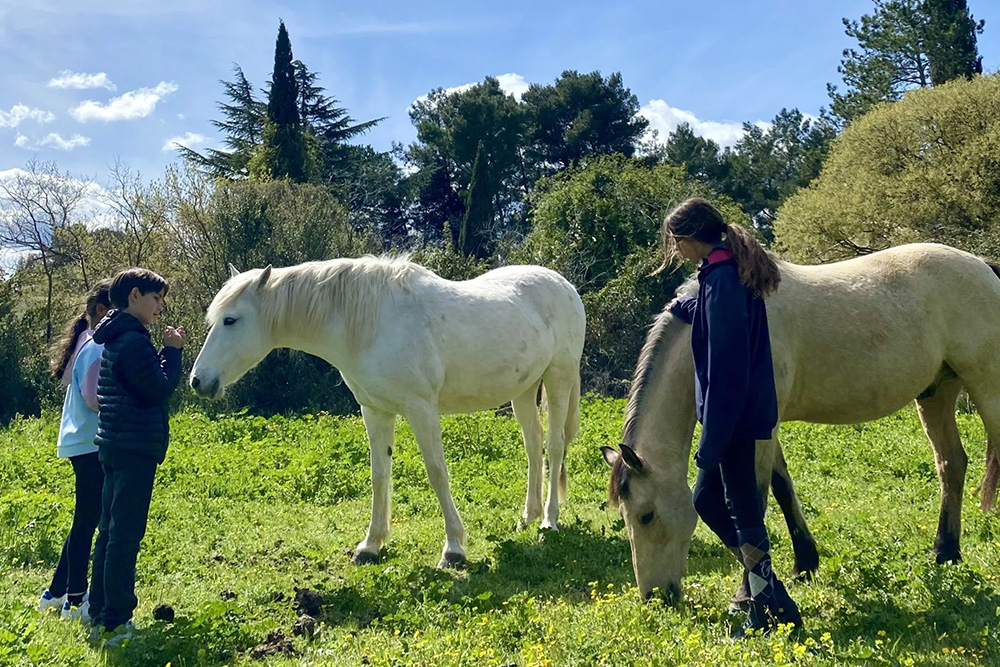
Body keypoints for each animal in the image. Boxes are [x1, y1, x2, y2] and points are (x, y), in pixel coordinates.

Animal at [188, 256, 584, 568]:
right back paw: (528, 517)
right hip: (524, 391)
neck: (369, 324)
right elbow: (380, 475)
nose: (197, 381)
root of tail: (564, 285)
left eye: (230, 320)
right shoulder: (375, 410)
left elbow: (437, 473)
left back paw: (549, 521)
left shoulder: (421, 408)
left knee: (555, 447)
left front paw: (453, 549)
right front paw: (370, 545)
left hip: (559, 378)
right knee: (533, 447)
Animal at [600, 243, 1000, 604]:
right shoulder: (762, 427)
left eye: (646, 516)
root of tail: (983, 265)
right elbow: (781, 487)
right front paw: (803, 564)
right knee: (951, 464)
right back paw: (944, 552)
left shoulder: (756, 430)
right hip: (936, 393)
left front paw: (750, 593)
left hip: (986, 386)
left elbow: (753, 502)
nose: (654, 597)